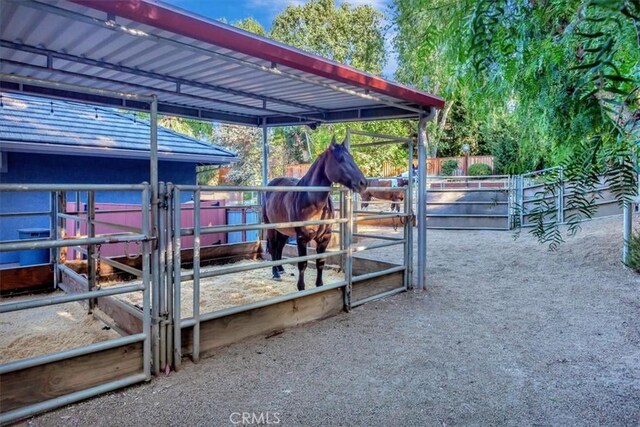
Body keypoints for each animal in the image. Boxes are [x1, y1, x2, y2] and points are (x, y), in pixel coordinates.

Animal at [262, 137, 368, 290]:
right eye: (340, 159)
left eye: (351, 157)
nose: (363, 183)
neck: (311, 202)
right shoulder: (301, 238)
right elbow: (302, 263)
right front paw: (301, 287)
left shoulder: (325, 237)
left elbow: (320, 262)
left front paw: (320, 285)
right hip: (271, 227)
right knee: (273, 246)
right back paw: (275, 273)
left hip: (284, 230)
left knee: (279, 247)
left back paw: (281, 269)